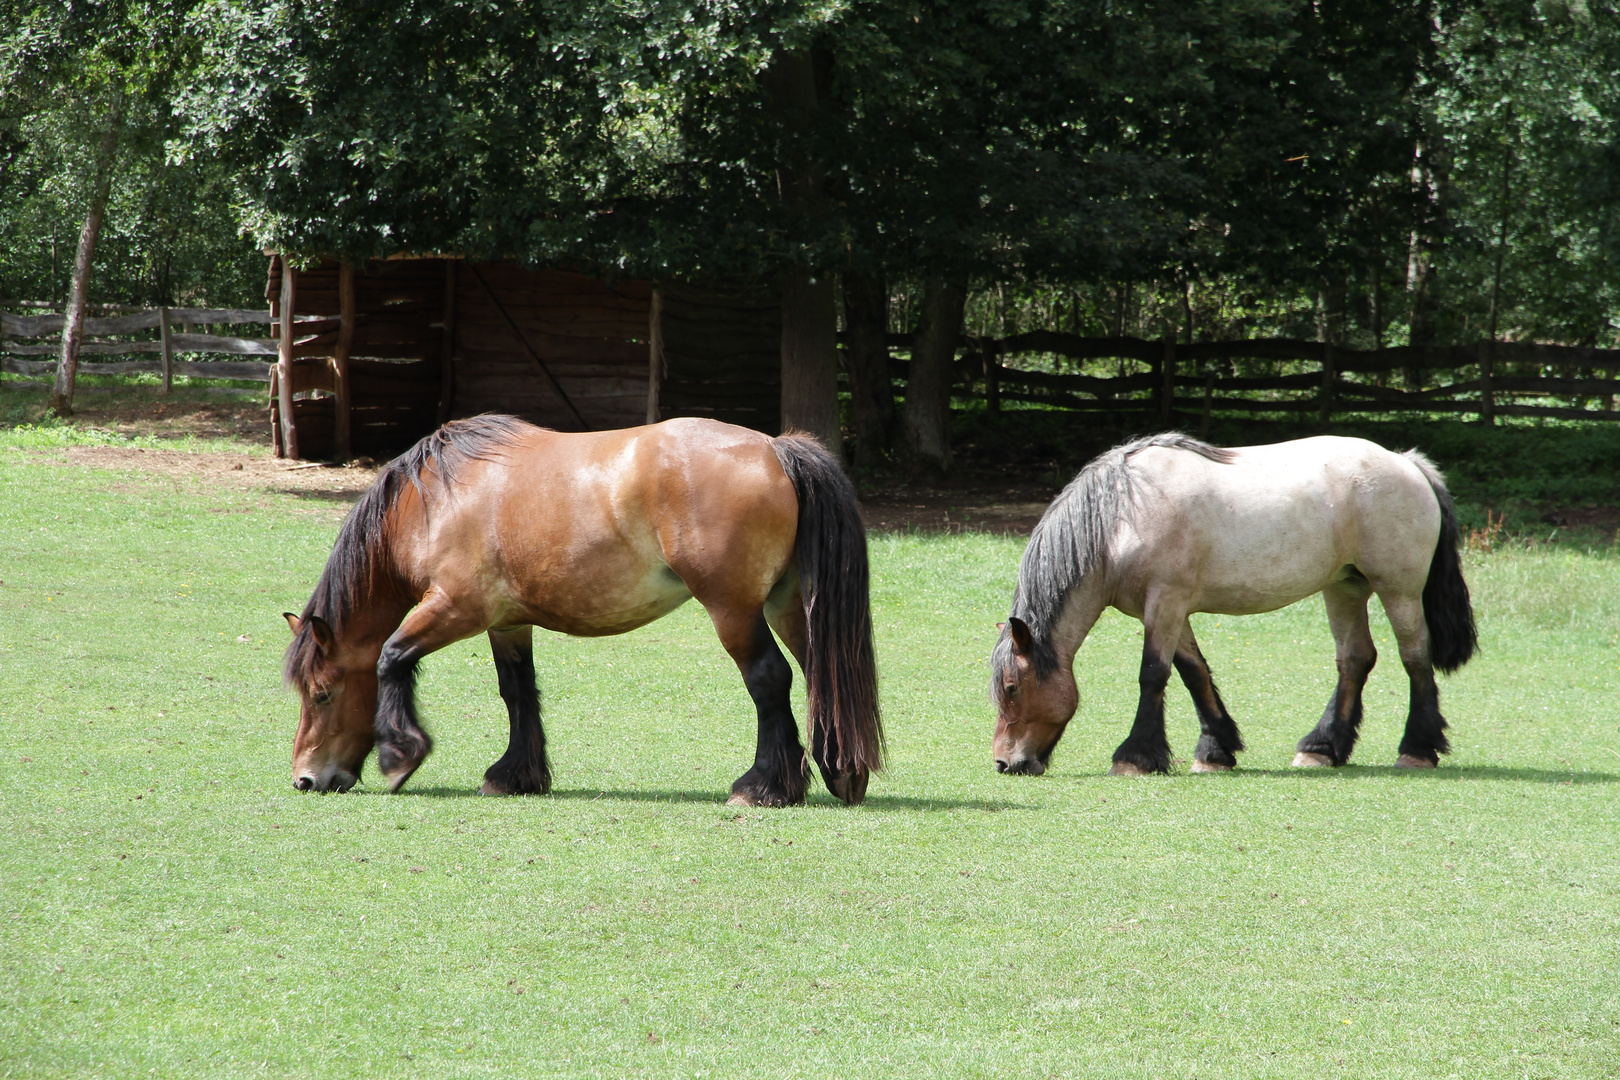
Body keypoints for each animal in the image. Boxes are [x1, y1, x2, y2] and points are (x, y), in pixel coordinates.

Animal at [281, 417, 887, 806]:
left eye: (322, 693)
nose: (305, 780)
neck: (434, 500)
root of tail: (775, 449)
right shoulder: (507, 621)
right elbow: (517, 691)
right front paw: (515, 775)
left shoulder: (456, 608)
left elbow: (391, 658)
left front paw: (400, 757)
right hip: (787, 607)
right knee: (820, 673)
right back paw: (841, 772)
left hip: (734, 611)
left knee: (770, 679)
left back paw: (762, 787)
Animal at [991, 433, 1477, 780]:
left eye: (1012, 688)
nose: (1005, 763)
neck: (1121, 517)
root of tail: (1407, 462)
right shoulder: (1171, 609)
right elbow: (1194, 673)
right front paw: (1215, 751)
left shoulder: (1165, 602)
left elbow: (1153, 674)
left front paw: (1135, 757)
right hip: (1344, 587)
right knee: (1355, 659)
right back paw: (1322, 748)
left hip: (1399, 590)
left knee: (1414, 658)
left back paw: (1417, 749)